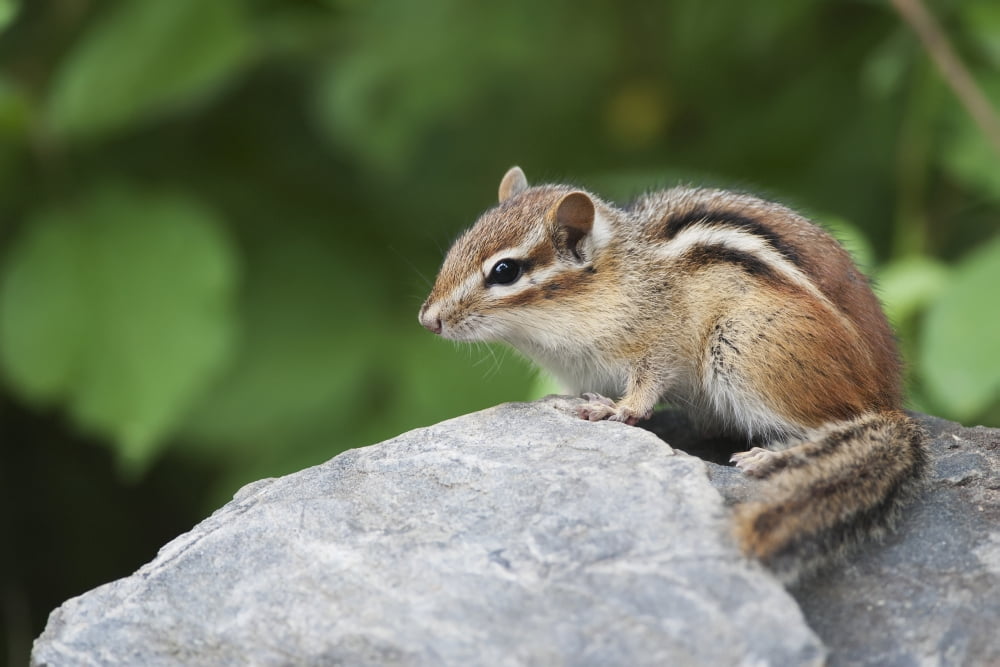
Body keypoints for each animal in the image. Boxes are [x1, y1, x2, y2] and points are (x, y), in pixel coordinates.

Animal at [418, 166, 928, 584]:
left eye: (505, 271)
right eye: (460, 244)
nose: (428, 320)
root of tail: (887, 398)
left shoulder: (660, 343)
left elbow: (646, 386)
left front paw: (614, 410)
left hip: (742, 348)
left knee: (832, 424)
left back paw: (772, 457)